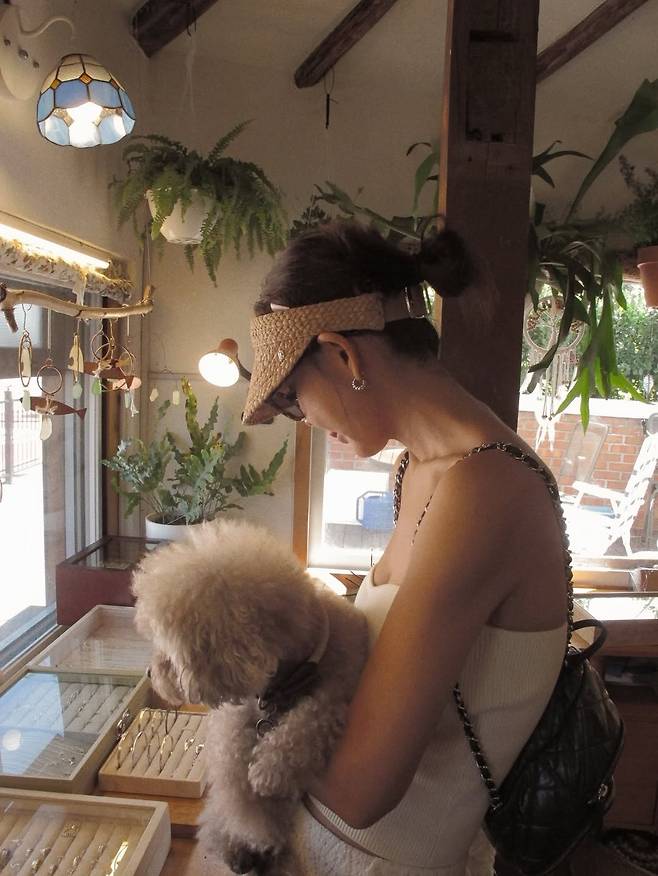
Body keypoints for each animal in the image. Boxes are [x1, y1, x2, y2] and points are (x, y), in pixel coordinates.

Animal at [132, 518, 368, 875]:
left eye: (172, 652)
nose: (150, 674)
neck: (285, 683)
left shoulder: (337, 690)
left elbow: (310, 718)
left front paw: (271, 770)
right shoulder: (235, 724)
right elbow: (238, 791)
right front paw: (255, 833)